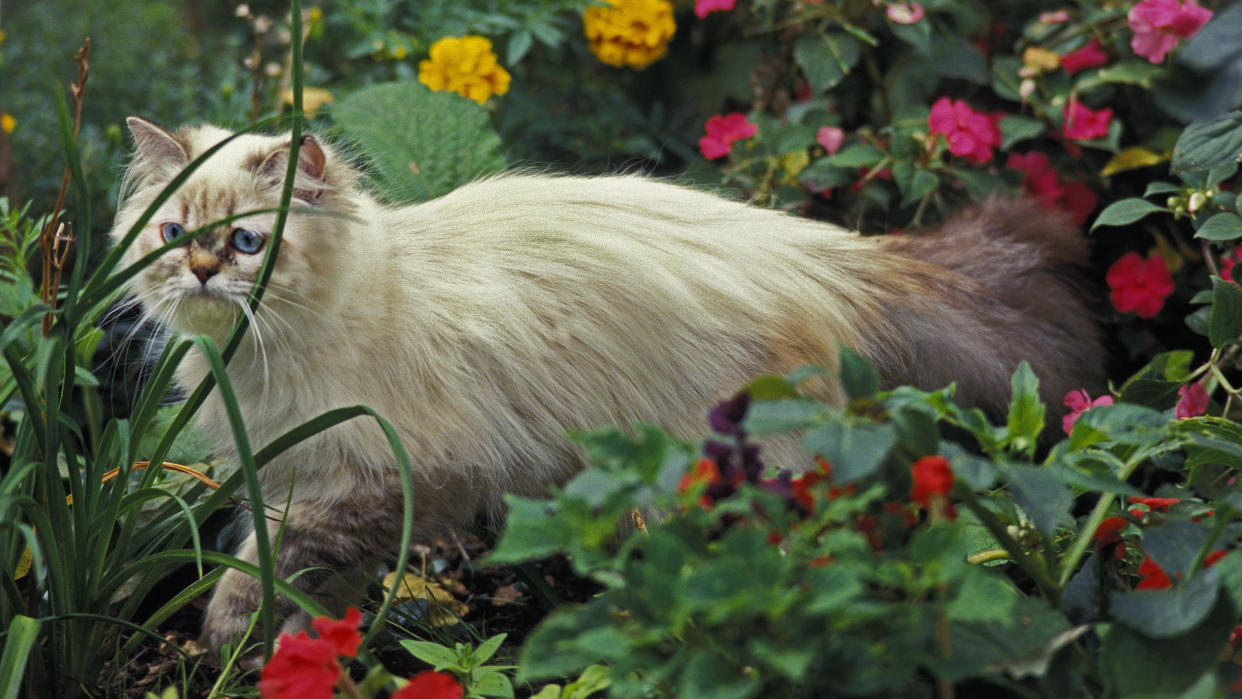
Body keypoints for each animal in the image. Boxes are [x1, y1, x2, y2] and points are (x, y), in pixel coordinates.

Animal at [109, 116, 1107, 655]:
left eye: (247, 241)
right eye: (172, 234)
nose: (201, 271)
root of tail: (830, 255)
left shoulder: (382, 472)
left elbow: (271, 557)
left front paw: (231, 638)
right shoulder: (303, 473)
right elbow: (310, 570)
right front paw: (310, 645)